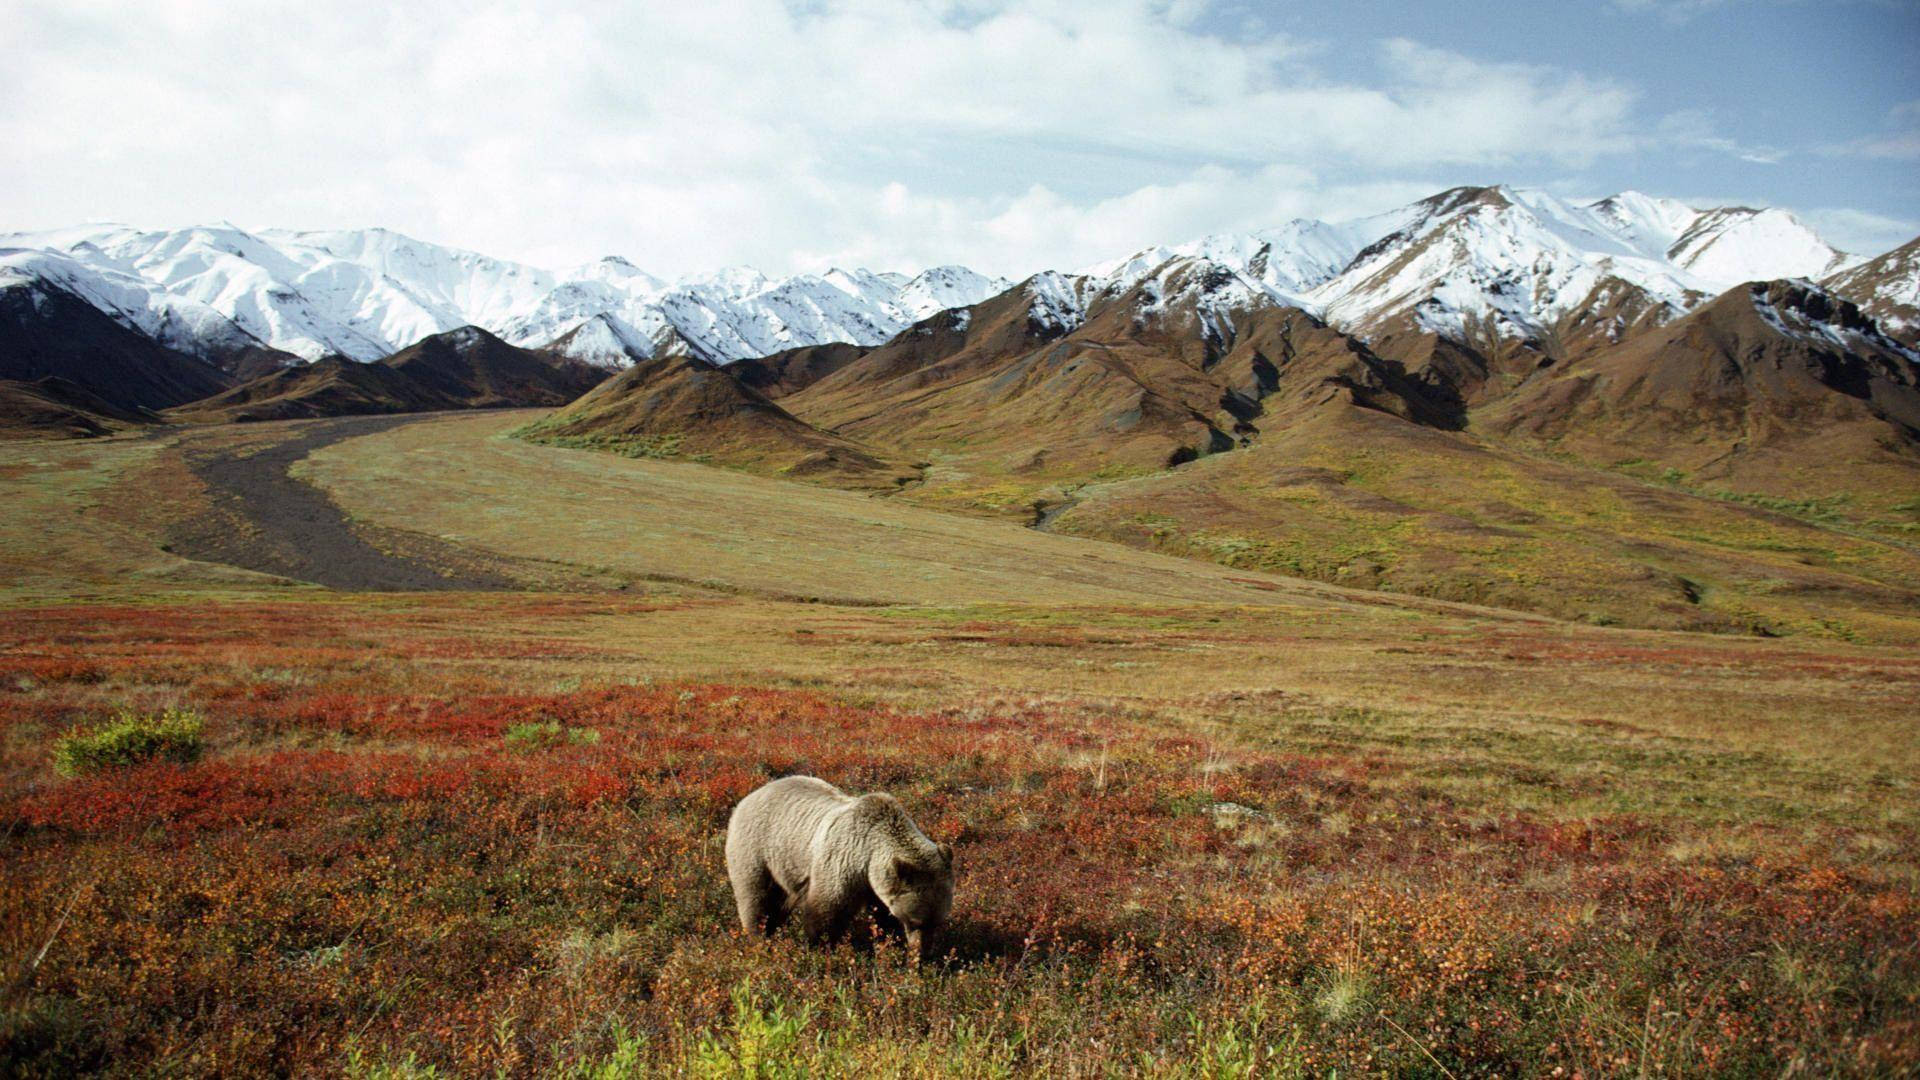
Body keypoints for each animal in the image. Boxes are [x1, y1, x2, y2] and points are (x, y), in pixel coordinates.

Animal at [725, 775, 953, 962]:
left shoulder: (877, 886)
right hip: (756, 850)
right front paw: (819, 948)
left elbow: (883, 917)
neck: (868, 859)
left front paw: (891, 945)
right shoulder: (842, 862)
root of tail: (749, 796)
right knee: (756, 898)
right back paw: (760, 939)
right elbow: (826, 912)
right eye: (915, 921)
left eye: (938, 921)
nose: (923, 954)